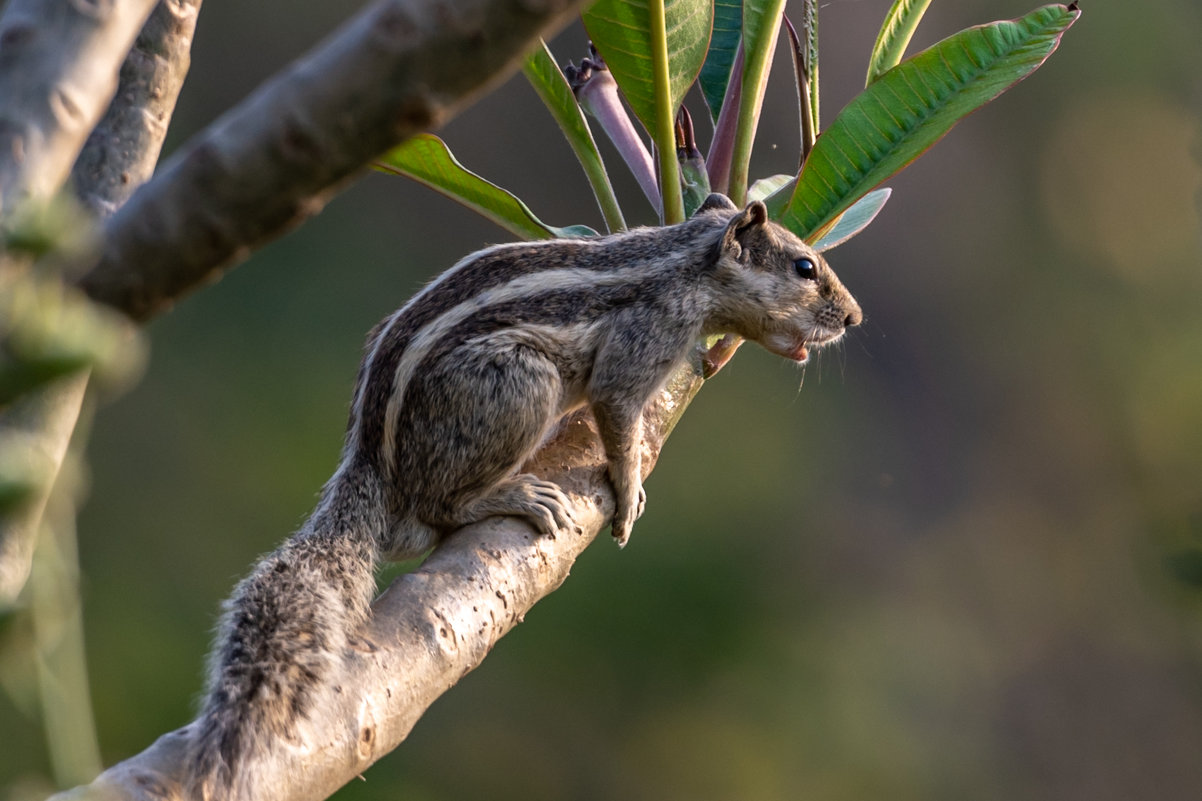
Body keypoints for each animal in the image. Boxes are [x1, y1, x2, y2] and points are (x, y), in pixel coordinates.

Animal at [185, 192, 865, 793]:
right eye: (805, 268)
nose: (855, 318)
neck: (684, 266)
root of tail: (370, 463)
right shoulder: (640, 347)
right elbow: (618, 417)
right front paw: (629, 489)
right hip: (520, 384)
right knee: (436, 511)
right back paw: (511, 497)